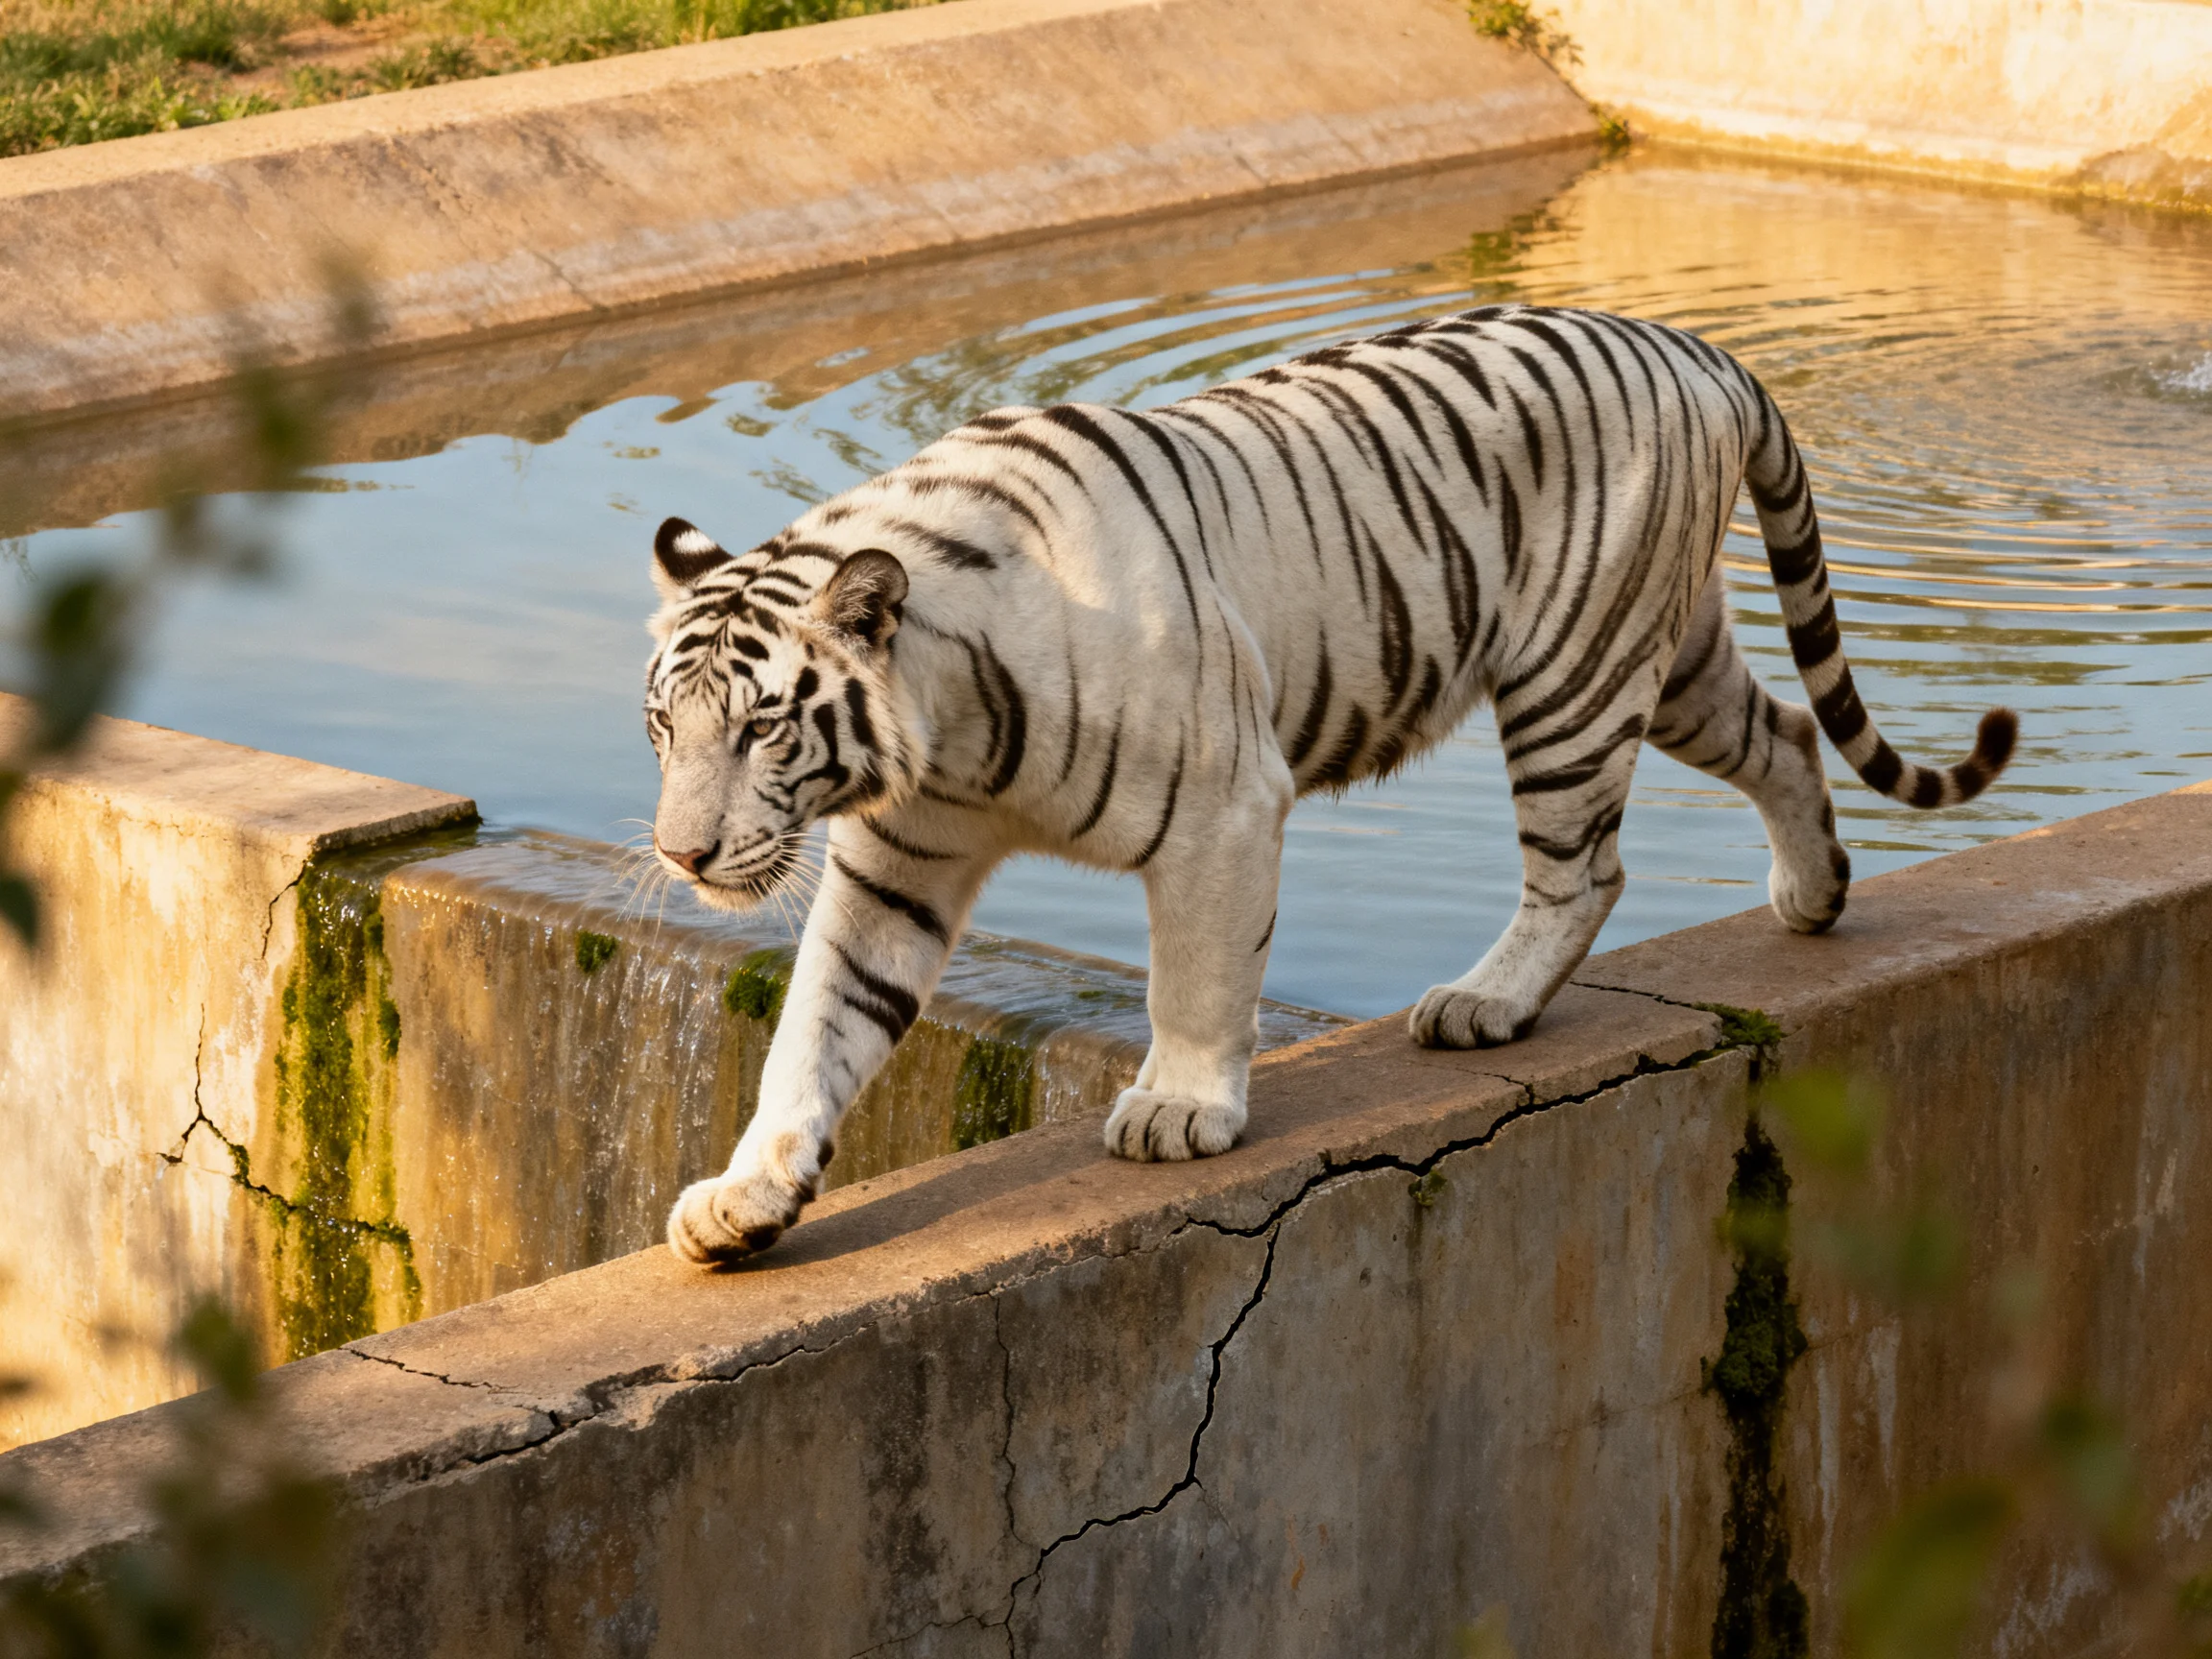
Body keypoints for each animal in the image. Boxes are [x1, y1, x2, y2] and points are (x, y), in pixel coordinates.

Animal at [643, 303, 2015, 1264]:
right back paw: (1815, 896)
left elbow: (1196, 977)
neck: (948, 718)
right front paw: (747, 1197)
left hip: (1573, 673)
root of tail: (1699, 348)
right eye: (664, 729)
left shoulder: (1222, 802)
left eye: (763, 730)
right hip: (1665, 658)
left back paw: (1484, 1002)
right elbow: (819, 1026)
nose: (682, 857)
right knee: (1782, 731)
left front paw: (1179, 1113)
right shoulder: (901, 862)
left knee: (1583, 866)